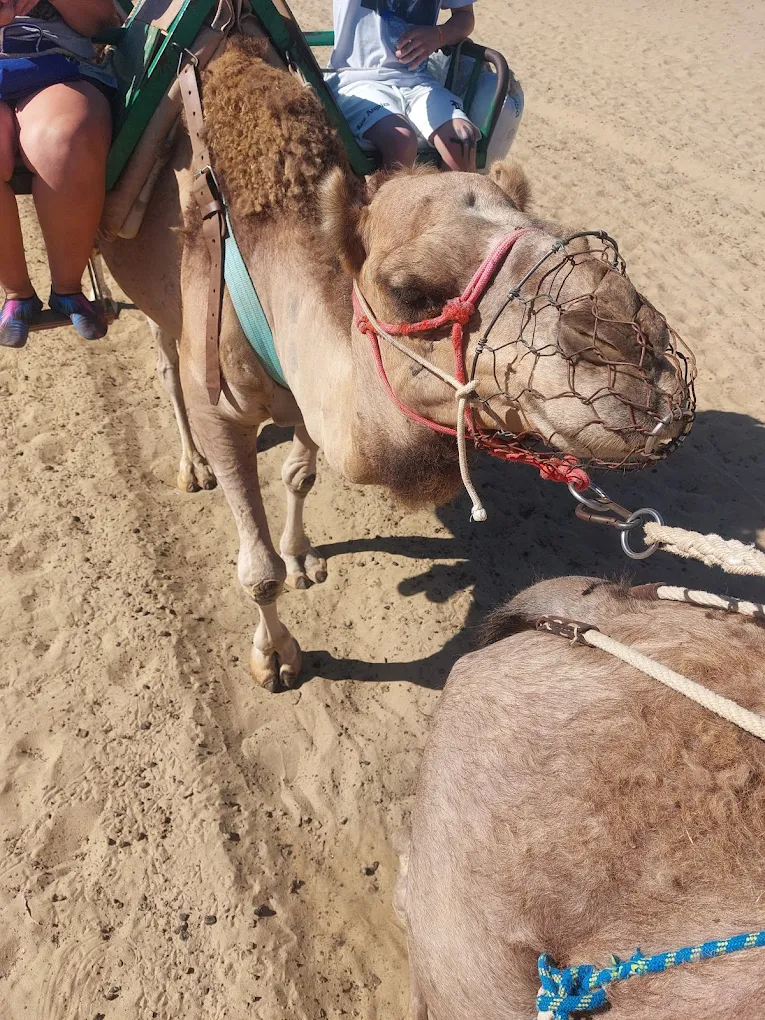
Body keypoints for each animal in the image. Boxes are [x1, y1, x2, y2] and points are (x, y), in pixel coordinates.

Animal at [100, 34, 695, 691]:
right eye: (410, 290)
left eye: (553, 231)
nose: (638, 354)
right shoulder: (222, 403)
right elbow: (258, 572)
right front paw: (276, 657)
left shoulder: (304, 396)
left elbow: (299, 475)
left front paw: (302, 555)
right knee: (166, 364)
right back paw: (192, 467)